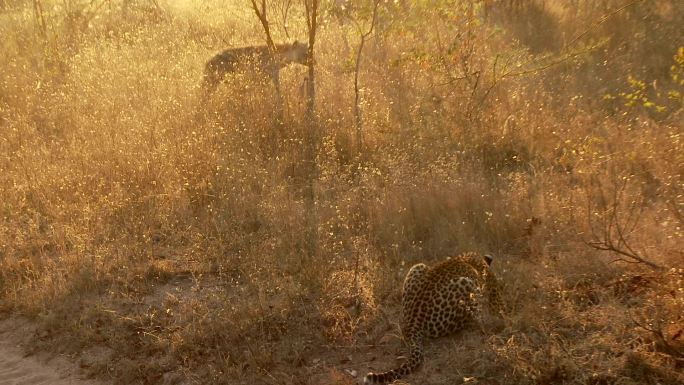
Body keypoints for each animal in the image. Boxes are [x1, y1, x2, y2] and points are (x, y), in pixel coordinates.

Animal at [364, 250, 502, 382]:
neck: (467, 258)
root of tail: (412, 322)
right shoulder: (492, 289)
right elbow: (499, 306)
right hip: (466, 283)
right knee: (476, 320)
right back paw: (483, 323)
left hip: (417, 267)